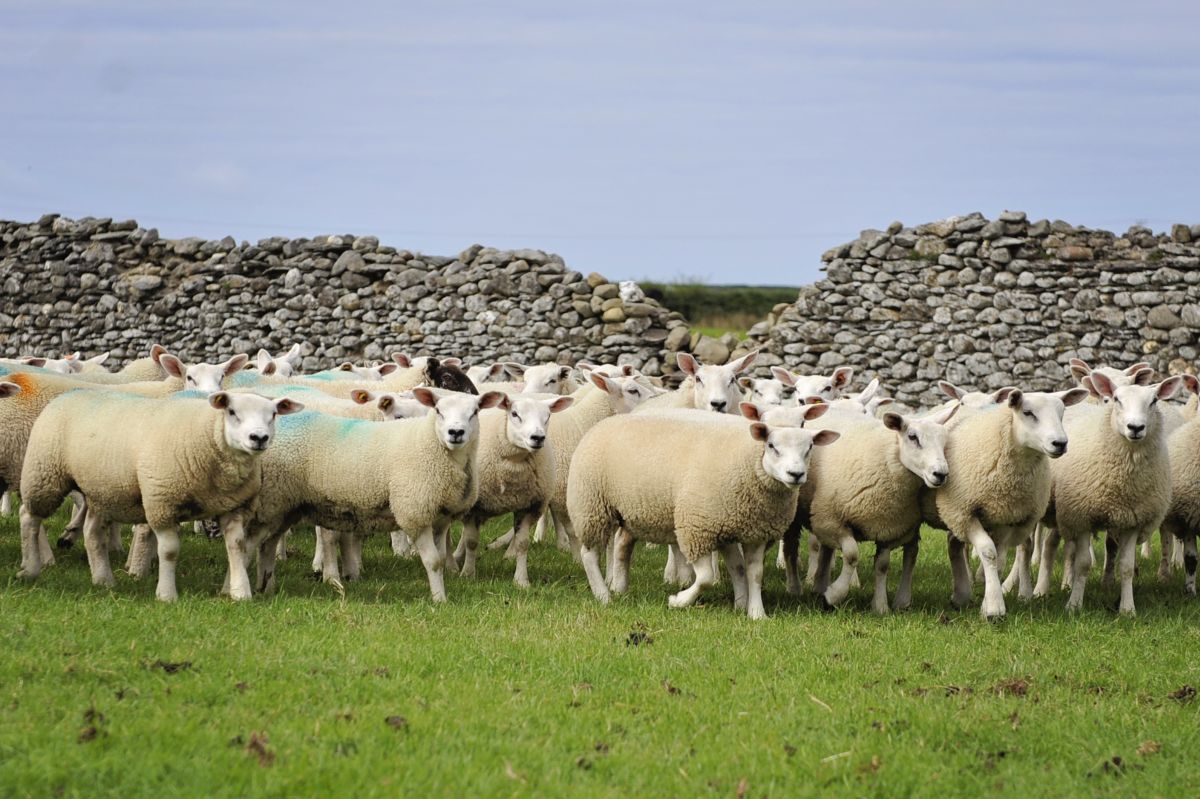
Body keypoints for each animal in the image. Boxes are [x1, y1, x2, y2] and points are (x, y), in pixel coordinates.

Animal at [19, 390, 302, 599]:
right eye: (232, 412)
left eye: (273, 414)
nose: (259, 438)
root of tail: (68, 393)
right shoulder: (162, 503)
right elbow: (169, 551)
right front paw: (166, 595)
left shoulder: (235, 507)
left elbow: (238, 547)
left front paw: (240, 592)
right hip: (44, 474)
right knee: (29, 516)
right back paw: (30, 568)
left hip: (102, 490)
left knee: (92, 533)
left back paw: (103, 579)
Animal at [248, 389, 504, 601]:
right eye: (439, 411)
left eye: (475, 412)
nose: (456, 433)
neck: (431, 443)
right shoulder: (415, 512)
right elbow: (432, 562)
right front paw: (440, 600)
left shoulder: (440, 518)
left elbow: (441, 558)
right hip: (273, 500)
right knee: (259, 542)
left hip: (285, 507)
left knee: (268, 544)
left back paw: (267, 587)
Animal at [568, 410, 839, 619]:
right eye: (772, 446)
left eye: (810, 448)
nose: (796, 474)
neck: (747, 463)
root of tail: (605, 422)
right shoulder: (697, 527)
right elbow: (707, 577)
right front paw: (678, 600)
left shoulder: (749, 530)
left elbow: (750, 572)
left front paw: (753, 611)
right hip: (591, 506)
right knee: (589, 554)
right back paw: (603, 595)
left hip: (632, 511)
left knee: (623, 545)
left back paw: (620, 588)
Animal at [795, 405, 958, 612]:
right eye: (913, 437)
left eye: (945, 441)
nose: (941, 474)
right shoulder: (832, 519)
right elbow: (851, 555)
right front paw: (834, 595)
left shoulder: (888, 527)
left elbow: (882, 566)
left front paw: (880, 606)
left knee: (826, 549)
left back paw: (819, 586)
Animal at [1034, 372, 1183, 615]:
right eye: (1116, 399)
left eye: (1153, 401)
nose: (1135, 427)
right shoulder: (1082, 516)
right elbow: (1083, 564)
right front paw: (1074, 605)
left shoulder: (1133, 520)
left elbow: (1126, 567)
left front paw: (1127, 608)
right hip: (1060, 509)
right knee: (1049, 547)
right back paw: (1041, 590)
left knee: (1061, 546)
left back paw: (1065, 583)